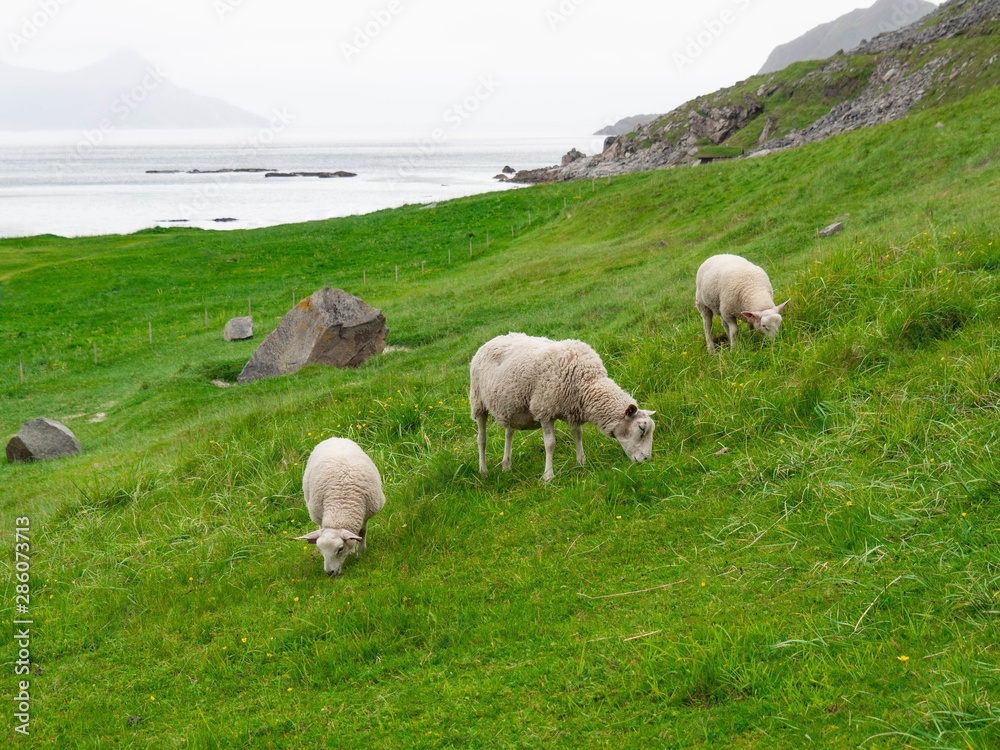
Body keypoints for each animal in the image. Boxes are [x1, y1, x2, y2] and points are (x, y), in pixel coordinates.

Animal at [293, 437, 385, 578]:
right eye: (319, 549)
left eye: (340, 549)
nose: (330, 573)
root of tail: (334, 438)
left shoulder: (365, 515)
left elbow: (361, 533)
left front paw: (360, 552)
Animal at [470, 332, 655, 482]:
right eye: (641, 429)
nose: (646, 460)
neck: (588, 382)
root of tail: (492, 340)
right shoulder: (544, 410)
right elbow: (550, 444)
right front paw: (548, 476)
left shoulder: (574, 408)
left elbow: (578, 435)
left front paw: (581, 462)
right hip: (478, 402)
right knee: (481, 439)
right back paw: (483, 471)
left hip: (510, 408)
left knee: (509, 433)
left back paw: (506, 466)